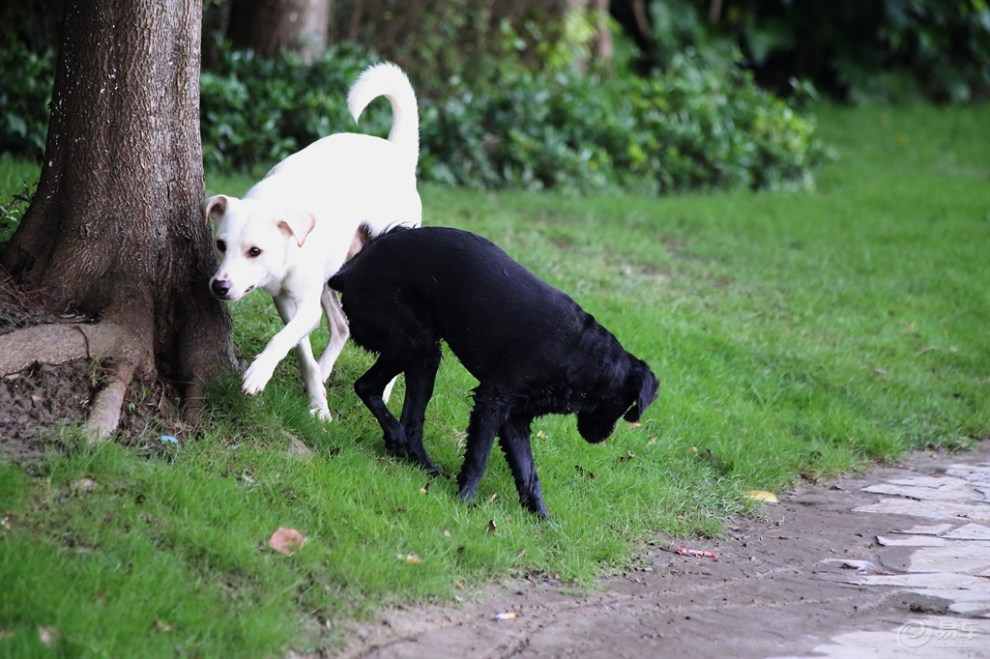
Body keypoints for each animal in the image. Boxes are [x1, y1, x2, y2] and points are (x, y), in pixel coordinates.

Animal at [203, 63, 420, 422]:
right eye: (221, 244)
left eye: (255, 251)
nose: (219, 287)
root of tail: (396, 152)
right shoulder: (286, 303)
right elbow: (300, 349)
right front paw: (317, 402)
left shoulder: (305, 307)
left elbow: (281, 340)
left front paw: (258, 373)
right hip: (333, 275)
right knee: (343, 326)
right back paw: (326, 371)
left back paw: (387, 391)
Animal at [330, 229, 664, 520]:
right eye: (623, 406)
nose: (601, 438)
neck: (582, 354)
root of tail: (348, 271)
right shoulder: (493, 400)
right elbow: (479, 457)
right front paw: (465, 502)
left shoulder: (516, 418)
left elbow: (528, 473)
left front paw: (543, 521)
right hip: (411, 342)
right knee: (366, 387)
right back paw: (398, 439)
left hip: (425, 357)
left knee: (411, 423)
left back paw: (421, 463)